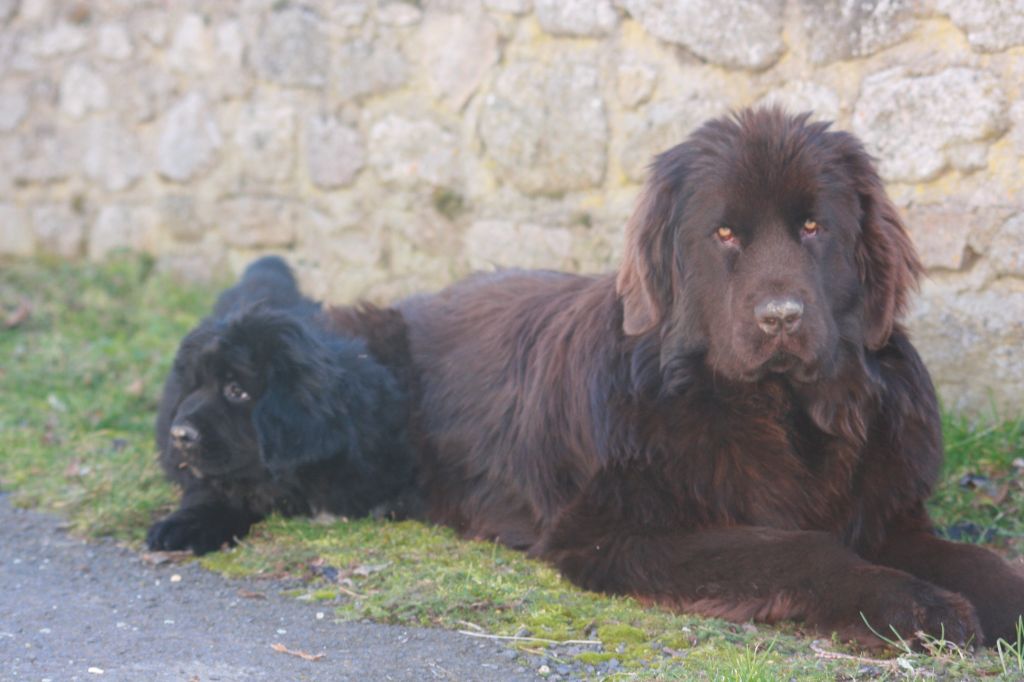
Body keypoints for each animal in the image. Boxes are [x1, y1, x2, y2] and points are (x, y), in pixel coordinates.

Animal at [399, 109, 1024, 647]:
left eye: (813, 227)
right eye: (724, 234)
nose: (780, 317)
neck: (780, 408)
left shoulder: (888, 517)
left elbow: (979, 561)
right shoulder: (617, 532)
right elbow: (799, 548)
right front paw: (913, 605)